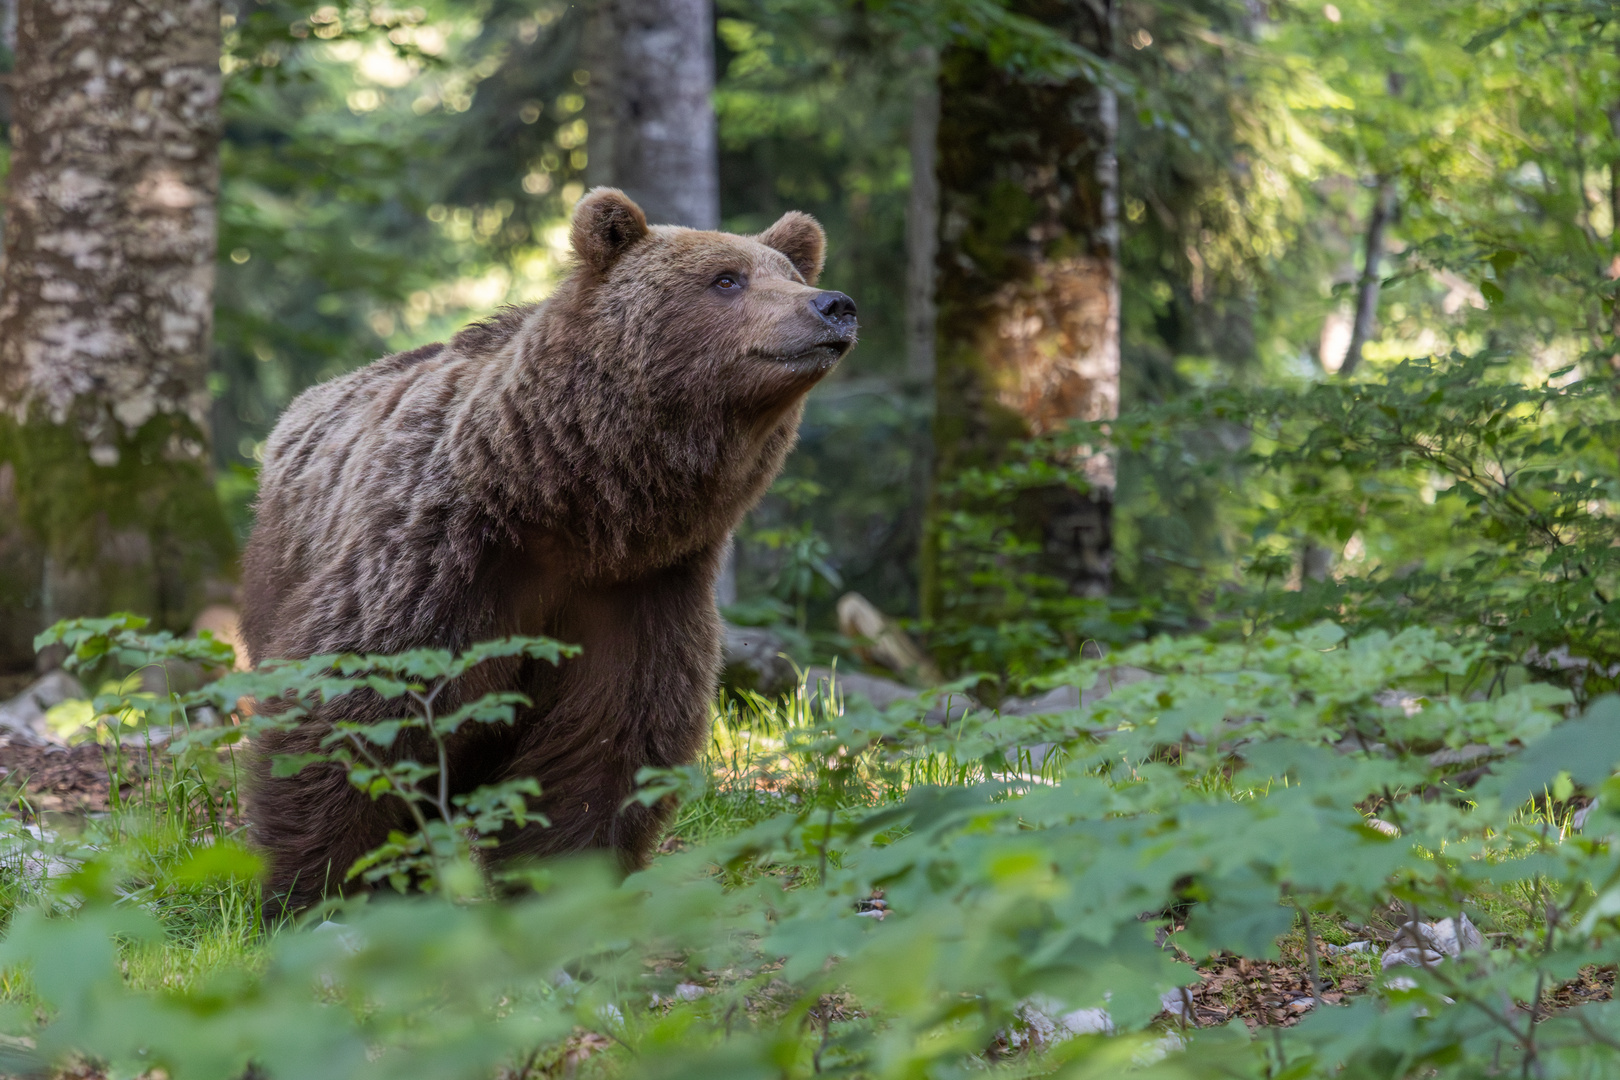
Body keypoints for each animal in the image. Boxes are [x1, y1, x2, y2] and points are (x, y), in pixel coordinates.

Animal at [239, 187, 855, 913]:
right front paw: (321, 892)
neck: (568, 507)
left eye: (789, 273)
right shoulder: (437, 563)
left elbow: (601, 751)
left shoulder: (636, 593)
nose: (833, 305)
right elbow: (354, 714)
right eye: (727, 279)